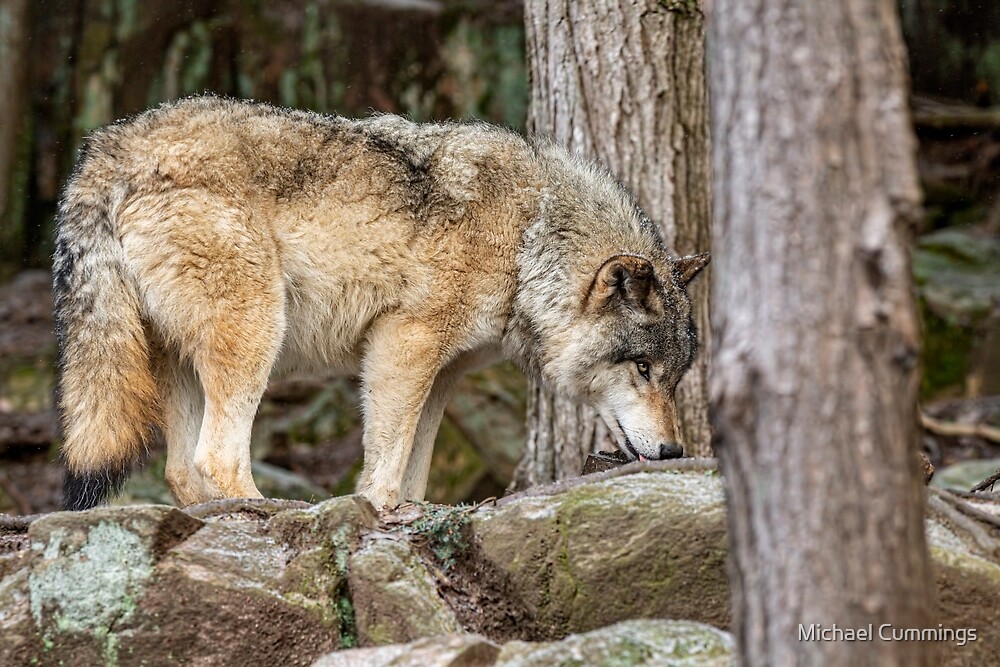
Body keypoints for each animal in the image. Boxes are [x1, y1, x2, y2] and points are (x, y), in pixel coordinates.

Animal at [56, 95, 712, 512]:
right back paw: (273, 510)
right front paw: (372, 506)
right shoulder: (404, 344)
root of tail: (111, 144)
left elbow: (415, 465)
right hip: (257, 332)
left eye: (675, 377)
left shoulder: (443, 372)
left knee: (180, 468)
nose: (675, 451)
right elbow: (388, 454)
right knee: (214, 456)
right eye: (642, 368)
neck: (530, 239)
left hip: (180, 355)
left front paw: (406, 509)